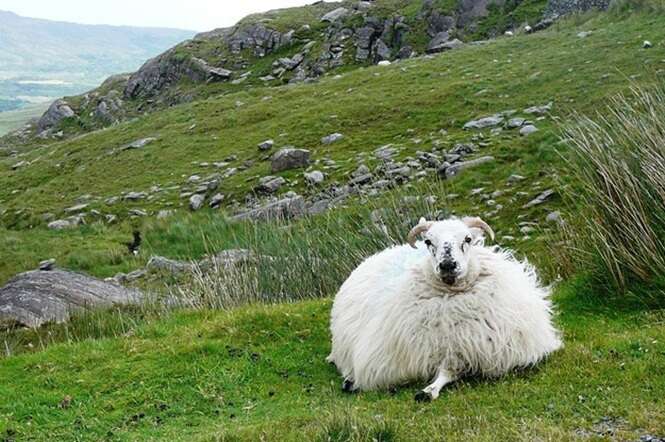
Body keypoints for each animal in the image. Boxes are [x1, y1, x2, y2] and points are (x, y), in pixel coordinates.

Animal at [326, 216, 560, 402]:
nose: (447, 265)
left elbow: (450, 371)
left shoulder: (469, 347)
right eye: (429, 241)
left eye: (468, 239)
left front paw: (429, 390)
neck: (452, 297)